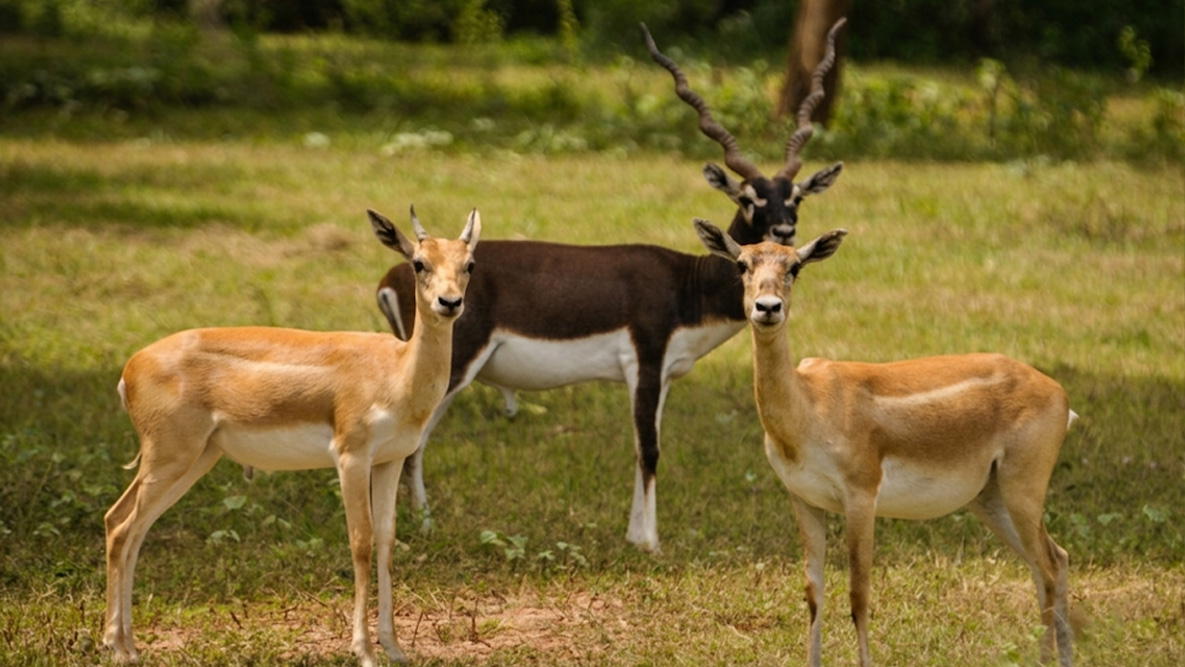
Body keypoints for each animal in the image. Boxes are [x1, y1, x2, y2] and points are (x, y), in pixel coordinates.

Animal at [102, 207, 480, 667]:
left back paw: (130, 645)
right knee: (120, 527)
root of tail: (130, 368)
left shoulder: (390, 460)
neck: (396, 370)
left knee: (132, 527)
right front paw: (363, 650)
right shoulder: (351, 458)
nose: (450, 303)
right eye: (419, 263)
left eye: (469, 264)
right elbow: (361, 542)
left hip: (194, 461)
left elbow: (387, 541)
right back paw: (116, 646)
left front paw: (394, 648)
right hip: (169, 457)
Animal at [372, 20, 848, 553]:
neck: (687, 284)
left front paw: (634, 535)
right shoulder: (645, 362)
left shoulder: (663, 377)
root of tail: (395, 274)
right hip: (453, 366)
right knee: (410, 442)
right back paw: (421, 526)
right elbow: (651, 449)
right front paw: (650, 543)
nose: (784, 231)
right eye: (748, 199)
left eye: (796, 197)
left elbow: (646, 447)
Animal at [693, 217, 1075, 667]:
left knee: (1047, 567)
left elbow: (858, 594)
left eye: (795, 267)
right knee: (1052, 560)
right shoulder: (803, 497)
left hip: (1023, 485)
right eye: (741, 264)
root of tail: (1060, 395)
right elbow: (814, 593)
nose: (768, 307)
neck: (807, 410)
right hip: (990, 496)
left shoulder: (861, 493)